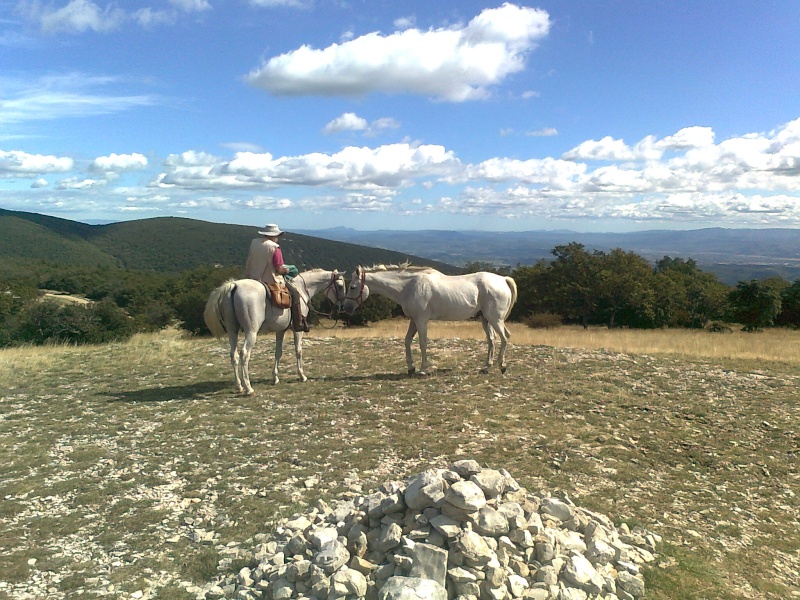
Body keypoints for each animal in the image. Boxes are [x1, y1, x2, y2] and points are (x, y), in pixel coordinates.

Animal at [205, 270, 346, 394]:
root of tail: (234, 285)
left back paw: (239, 386)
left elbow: (278, 353)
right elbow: (298, 351)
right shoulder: (297, 330)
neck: (301, 289)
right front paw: (302, 375)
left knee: (233, 355)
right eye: (340, 286)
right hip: (251, 332)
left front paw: (275, 378)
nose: (341, 306)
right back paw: (248, 388)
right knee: (244, 354)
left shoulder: (280, 330)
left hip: (232, 330)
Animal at [342, 264, 520, 372]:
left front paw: (422, 369)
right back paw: (486, 367)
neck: (409, 286)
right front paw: (411, 368)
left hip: (495, 319)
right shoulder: (413, 320)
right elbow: (407, 341)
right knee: (492, 340)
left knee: (505, 337)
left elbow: (422, 342)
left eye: (353, 287)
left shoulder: (421, 321)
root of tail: (503, 279)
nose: (346, 308)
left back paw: (502, 366)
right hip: (485, 319)